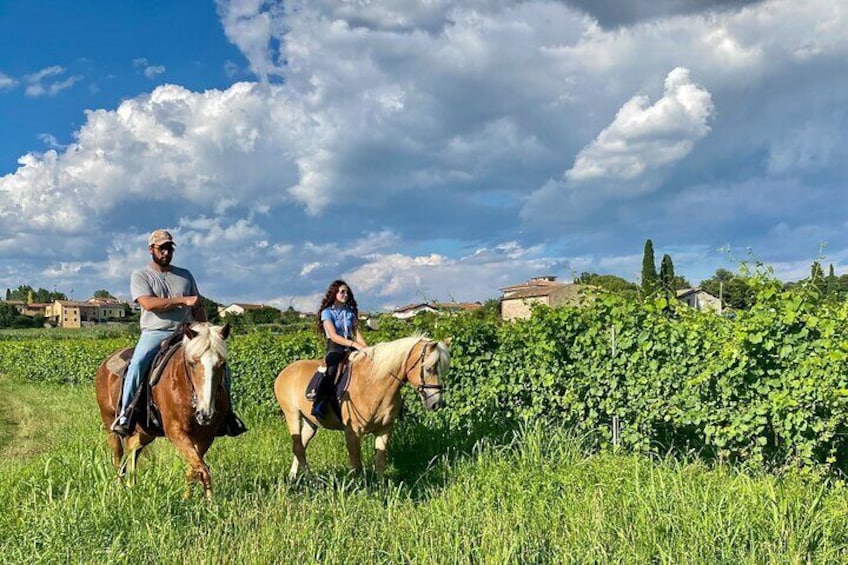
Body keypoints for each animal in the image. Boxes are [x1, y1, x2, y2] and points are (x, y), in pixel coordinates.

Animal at [96, 322, 232, 498]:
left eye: (222, 364)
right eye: (192, 363)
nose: (205, 414)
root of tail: (105, 363)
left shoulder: (206, 435)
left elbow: (195, 467)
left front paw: (192, 499)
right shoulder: (174, 431)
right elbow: (201, 468)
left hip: (146, 431)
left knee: (133, 448)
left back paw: (132, 486)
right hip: (109, 424)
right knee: (118, 455)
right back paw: (120, 489)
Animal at [274, 332, 448, 478]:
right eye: (429, 368)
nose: (436, 403)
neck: (374, 384)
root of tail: (284, 372)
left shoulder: (385, 429)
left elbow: (380, 462)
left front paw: (381, 488)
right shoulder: (353, 431)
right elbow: (356, 464)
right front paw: (358, 489)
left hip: (311, 422)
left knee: (301, 446)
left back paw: (293, 476)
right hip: (292, 414)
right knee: (298, 447)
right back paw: (310, 479)